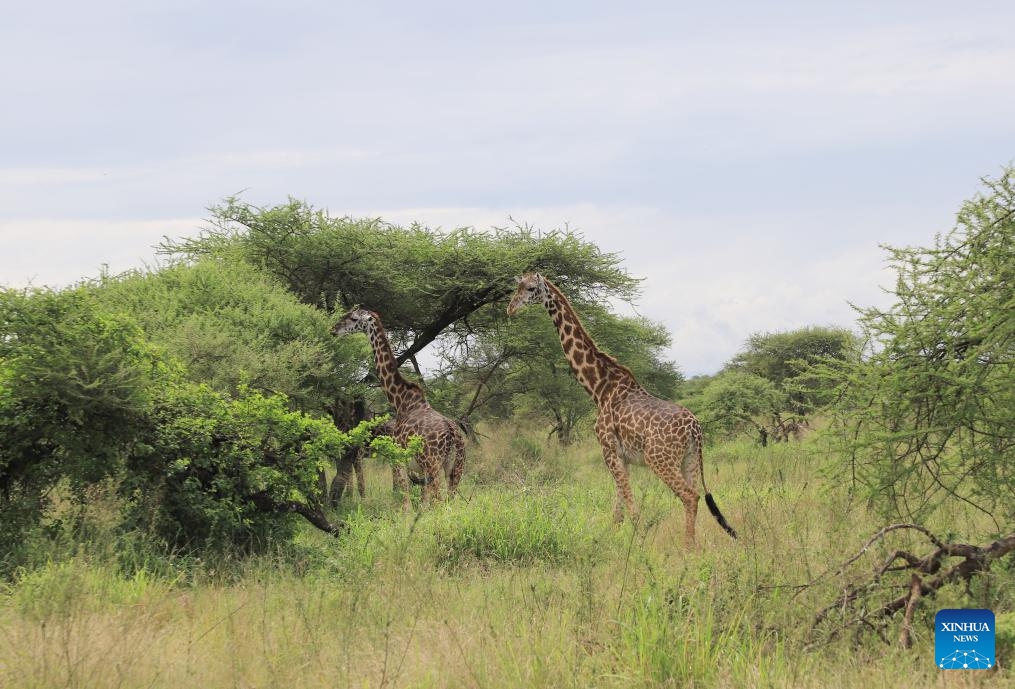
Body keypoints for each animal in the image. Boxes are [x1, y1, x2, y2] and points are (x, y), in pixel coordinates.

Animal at [330, 306, 464, 507]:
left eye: (353, 318)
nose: (334, 330)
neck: (401, 402)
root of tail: (453, 435)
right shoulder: (416, 469)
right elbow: (422, 504)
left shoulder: (398, 458)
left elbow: (406, 502)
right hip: (457, 468)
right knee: (450, 502)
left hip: (433, 464)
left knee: (439, 502)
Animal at [507, 271, 738, 547]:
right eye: (517, 286)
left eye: (531, 288)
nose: (510, 308)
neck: (599, 388)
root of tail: (696, 428)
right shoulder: (621, 455)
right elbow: (618, 509)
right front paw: (616, 538)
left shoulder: (608, 448)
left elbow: (629, 503)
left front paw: (639, 542)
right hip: (690, 459)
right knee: (694, 495)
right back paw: (693, 545)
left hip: (659, 459)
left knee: (690, 496)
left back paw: (687, 548)